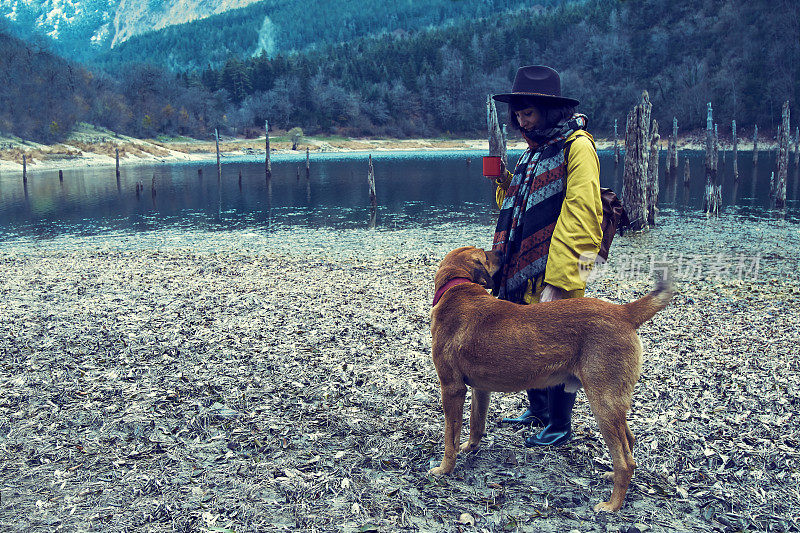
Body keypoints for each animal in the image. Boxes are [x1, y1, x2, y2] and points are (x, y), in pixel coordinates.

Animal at [428, 245, 672, 512]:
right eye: (487, 254)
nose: (503, 251)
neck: (456, 286)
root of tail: (624, 312)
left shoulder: (452, 388)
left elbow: (450, 438)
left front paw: (444, 469)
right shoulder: (480, 389)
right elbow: (476, 425)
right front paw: (469, 448)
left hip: (603, 404)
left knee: (625, 461)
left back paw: (612, 505)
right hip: (613, 404)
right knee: (630, 442)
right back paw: (611, 477)